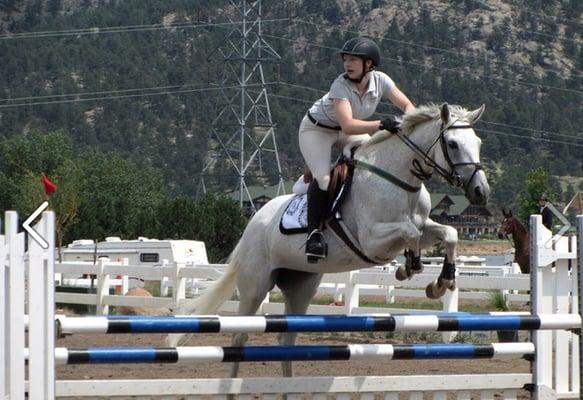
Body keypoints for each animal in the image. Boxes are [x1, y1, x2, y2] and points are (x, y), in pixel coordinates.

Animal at [168, 103, 488, 378]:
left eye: (478, 141)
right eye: (452, 144)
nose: (480, 192)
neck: (400, 179)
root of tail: (254, 221)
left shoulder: (424, 225)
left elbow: (448, 234)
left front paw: (441, 281)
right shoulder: (372, 240)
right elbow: (410, 233)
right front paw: (409, 267)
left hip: (301, 286)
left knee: (286, 342)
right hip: (255, 286)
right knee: (238, 337)